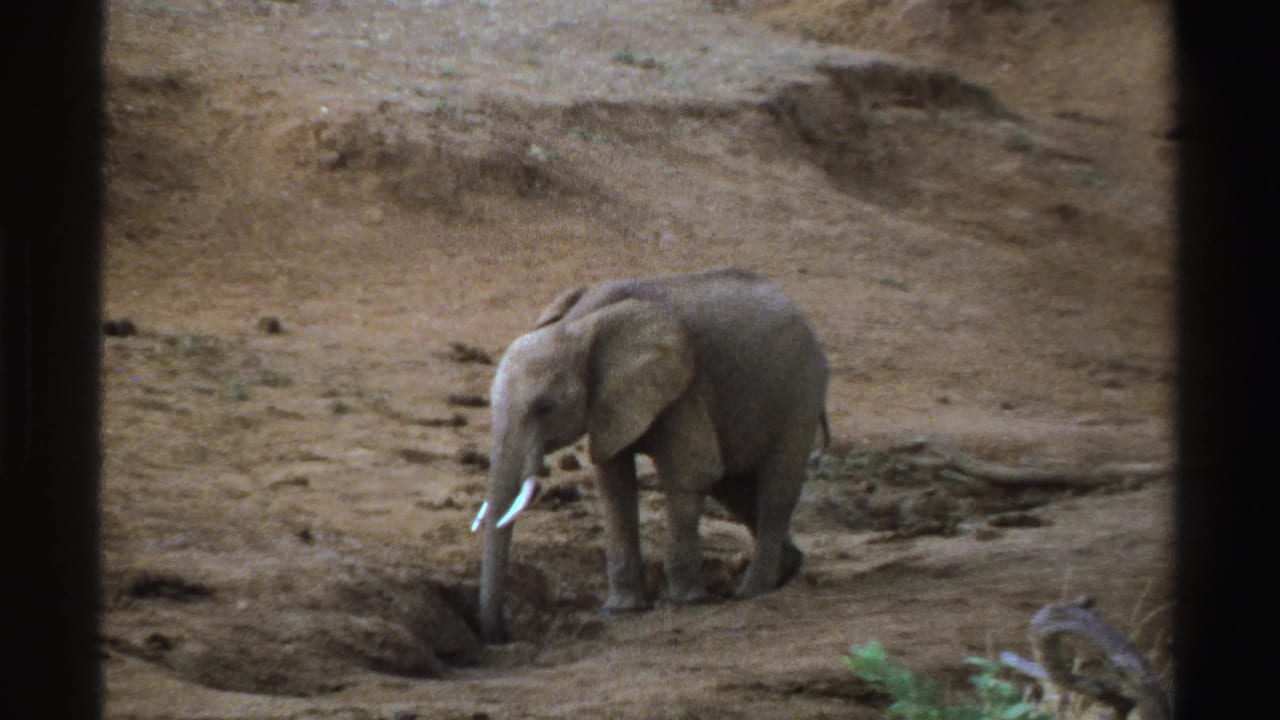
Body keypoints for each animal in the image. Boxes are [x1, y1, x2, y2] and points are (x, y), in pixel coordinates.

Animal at [470, 268, 829, 643]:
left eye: (545, 408)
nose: (502, 634)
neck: (578, 325)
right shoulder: (610, 401)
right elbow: (614, 483)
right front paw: (621, 610)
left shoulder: (682, 387)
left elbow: (692, 472)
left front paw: (685, 602)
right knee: (737, 491)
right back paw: (786, 570)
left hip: (801, 391)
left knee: (775, 489)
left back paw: (752, 592)